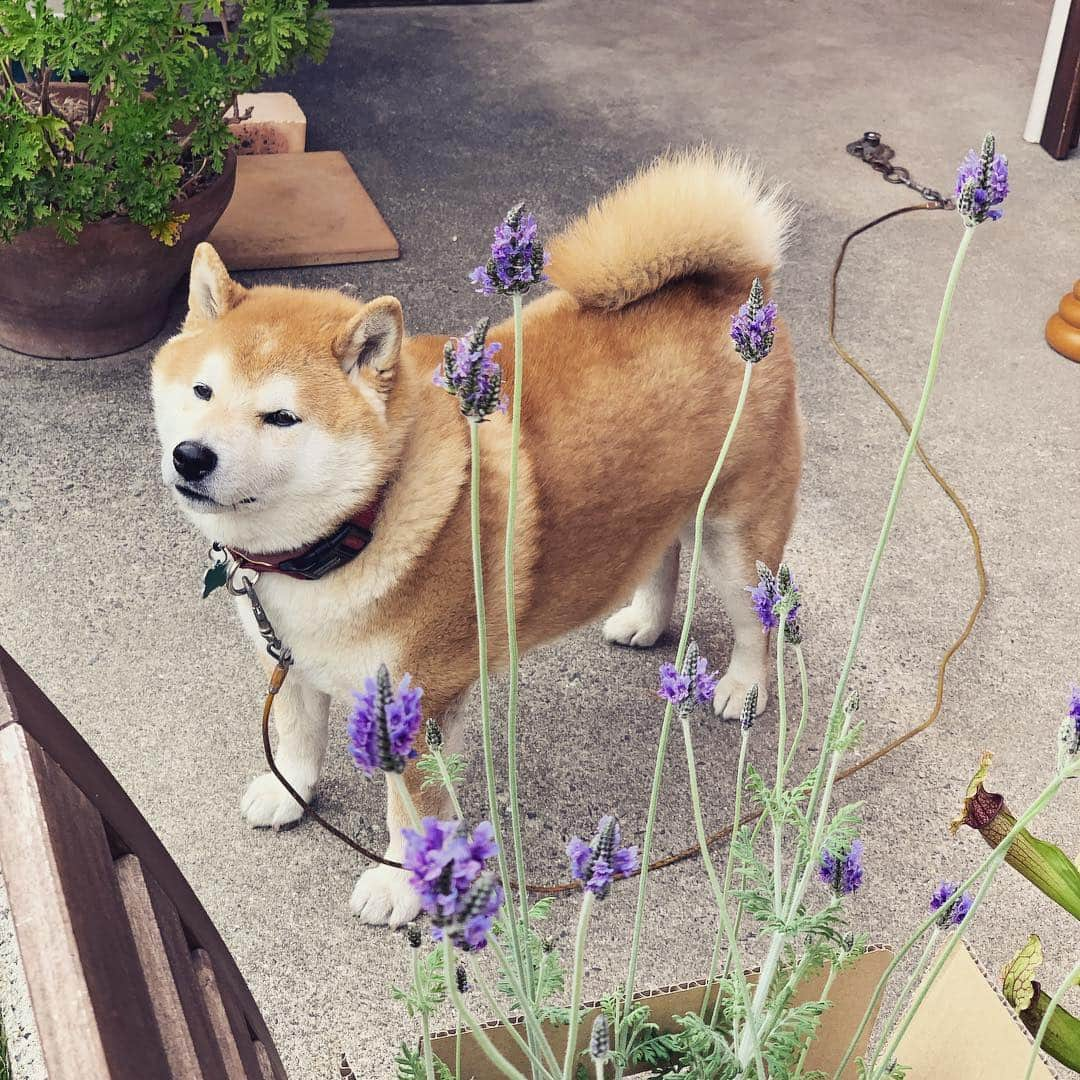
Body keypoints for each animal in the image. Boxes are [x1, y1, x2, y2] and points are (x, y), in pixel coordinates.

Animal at [156, 150, 807, 928]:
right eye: (203, 392)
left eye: (280, 418)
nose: (191, 456)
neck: (348, 536)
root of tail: (740, 288)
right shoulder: (286, 659)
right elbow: (297, 732)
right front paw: (290, 792)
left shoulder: (419, 704)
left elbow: (412, 811)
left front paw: (402, 886)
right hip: (660, 510)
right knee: (660, 554)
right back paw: (646, 622)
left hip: (737, 535)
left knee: (753, 620)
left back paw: (742, 685)